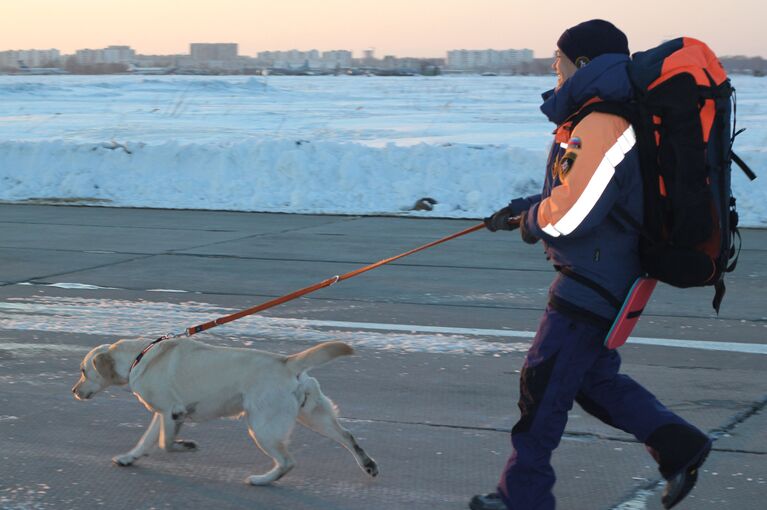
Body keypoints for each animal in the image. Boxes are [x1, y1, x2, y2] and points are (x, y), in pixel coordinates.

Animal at [72, 338, 378, 486]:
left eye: (83, 371)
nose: (74, 391)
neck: (139, 356)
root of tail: (288, 362)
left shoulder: (173, 411)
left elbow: (165, 443)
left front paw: (187, 445)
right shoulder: (162, 414)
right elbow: (147, 441)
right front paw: (129, 458)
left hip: (262, 427)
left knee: (287, 461)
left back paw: (261, 480)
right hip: (314, 415)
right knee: (348, 436)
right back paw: (368, 464)